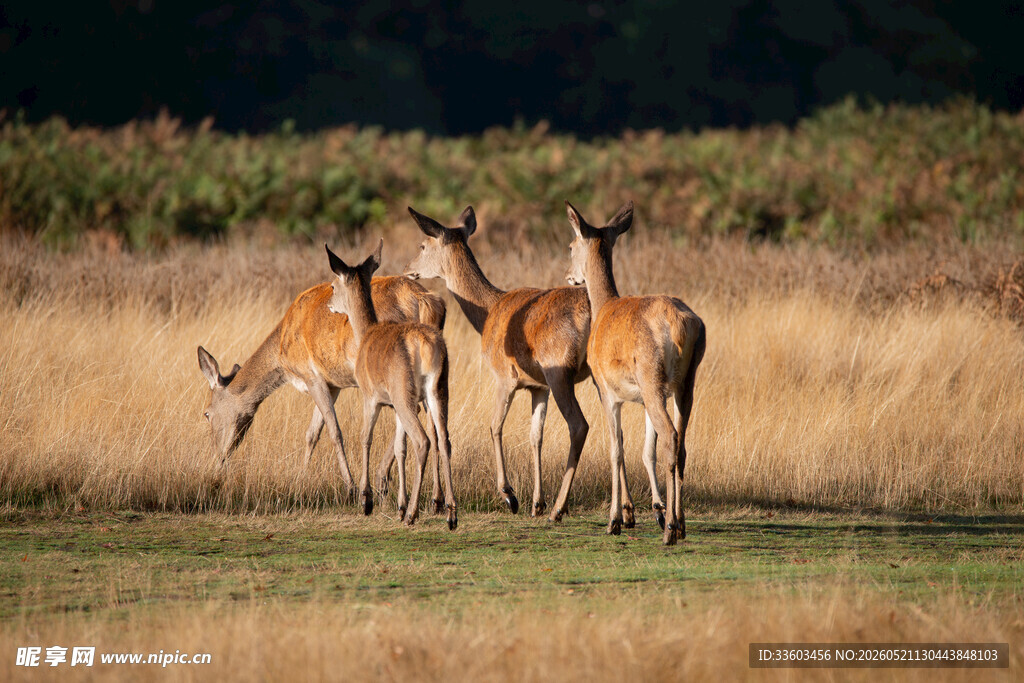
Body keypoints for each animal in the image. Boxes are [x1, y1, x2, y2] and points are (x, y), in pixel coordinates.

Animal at [197, 272, 447, 512]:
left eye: (207, 413)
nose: (216, 460)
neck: (283, 358)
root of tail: (424, 300)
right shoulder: (332, 384)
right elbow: (312, 432)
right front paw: (301, 478)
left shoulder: (312, 376)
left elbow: (333, 431)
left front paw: (350, 488)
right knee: (433, 422)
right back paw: (436, 498)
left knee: (414, 413)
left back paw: (383, 481)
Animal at [325, 240, 456, 530]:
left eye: (333, 284)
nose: (329, 305)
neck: (366, 334)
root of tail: (426, 345)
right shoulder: (394, 407)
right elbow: (399, 447)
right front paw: (399, 504)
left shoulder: (370, 396)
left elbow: (365, 437)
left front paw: (366, 500)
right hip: (438, 391)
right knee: (443, 439)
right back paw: (451, 513)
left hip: (404, 394)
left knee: (423, 441)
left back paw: (413, 514)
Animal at [404, 205, 656, 526]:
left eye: (423, 245)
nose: (407, 267)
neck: (488, 312)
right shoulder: (539, 387)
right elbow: (536, 435)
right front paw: (536, 502)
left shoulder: (505, 376)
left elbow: (495, 425)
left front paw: (509, 495)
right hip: (597, 377)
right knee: (615, 433)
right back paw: (626, 510)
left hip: (559, 370)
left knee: (579, 425)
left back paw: (559, 509)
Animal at [564, 200, 705, 545]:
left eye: (571, 245)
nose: (569, 276)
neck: (603, 307)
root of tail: (682, 326)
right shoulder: (644, 397)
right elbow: (645, 451)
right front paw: (655, 510)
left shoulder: (606, 391)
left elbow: (616, 449)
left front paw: (615, 520)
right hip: (684, 382)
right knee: (681, 444)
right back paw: (680, 524)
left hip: (651, 375)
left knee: (670, 437)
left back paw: (670, 531)